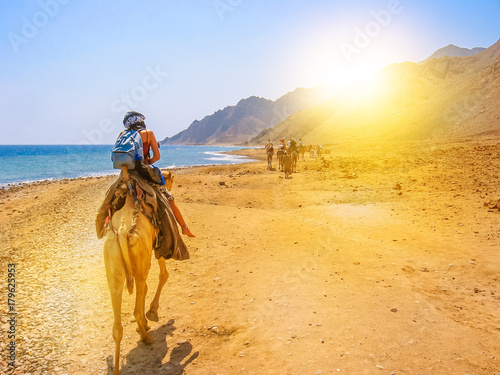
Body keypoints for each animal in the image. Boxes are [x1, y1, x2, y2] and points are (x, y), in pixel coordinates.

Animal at [103, 168, 176, 375]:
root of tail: (121, 231)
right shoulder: (157, 244)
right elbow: (163, 275)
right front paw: (151, 314)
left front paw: (144, 323)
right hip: (140, 258)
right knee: (139, 296)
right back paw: (146, 337)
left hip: (113, 266)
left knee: (117, 324)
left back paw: (117, 369)